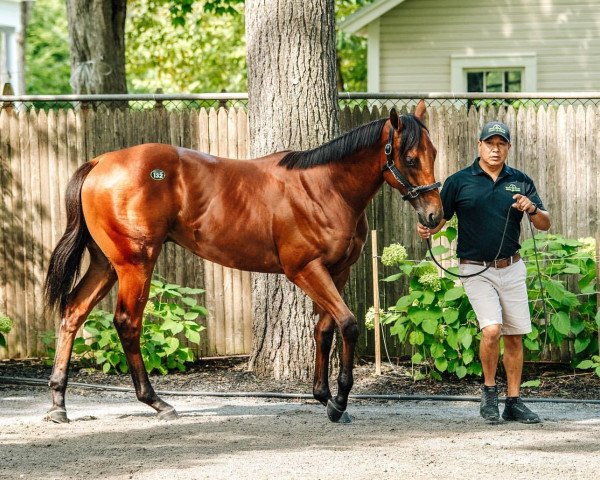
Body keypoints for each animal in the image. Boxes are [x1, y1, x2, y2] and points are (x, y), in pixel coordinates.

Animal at [44, 99, 442, 422]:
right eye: (409, 159)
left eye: (434, 153)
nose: (434, 216)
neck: (324, 188)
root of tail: (99, 162)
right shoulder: (305, 270)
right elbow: (348, 324)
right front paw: (340, 402)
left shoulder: (337, 271)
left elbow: (324, 329)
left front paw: (324, 396)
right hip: (135, 263)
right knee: (127, 323)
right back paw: (156, 402)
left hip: (105, 263)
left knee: (73, 312)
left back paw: (58, 403)